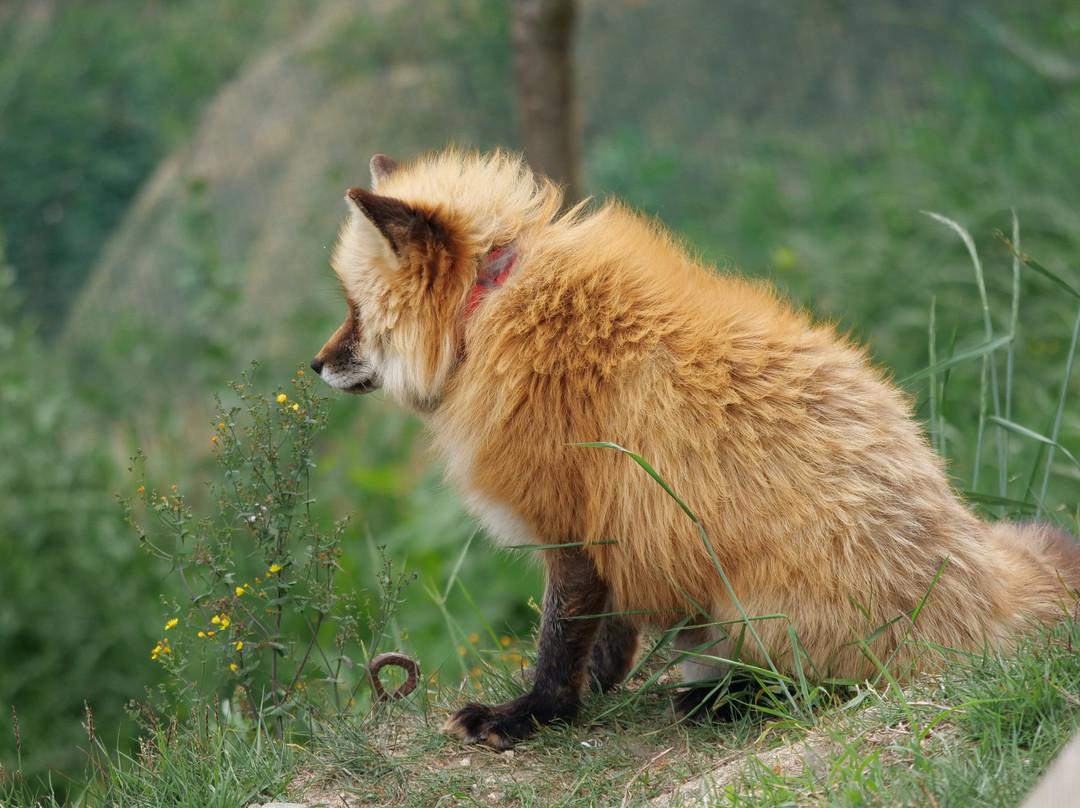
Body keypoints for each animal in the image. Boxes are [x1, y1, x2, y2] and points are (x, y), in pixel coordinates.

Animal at [312, 148, 1080, 750]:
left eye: (353, 309)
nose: (314, 365)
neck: (492, 305)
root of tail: (982, 590)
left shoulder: (572, 523)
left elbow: (559, 642)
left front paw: (532, 716)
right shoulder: (615, 525)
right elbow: (605, 641)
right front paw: (595, 695)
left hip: (754, 614)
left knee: (826, 686)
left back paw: (725, 699)